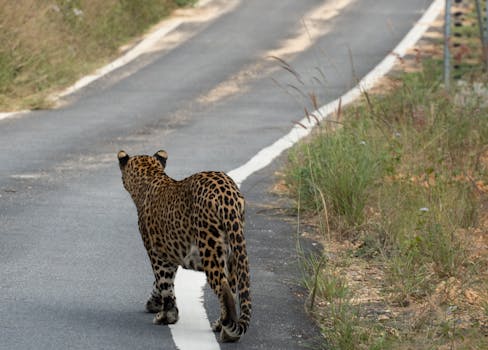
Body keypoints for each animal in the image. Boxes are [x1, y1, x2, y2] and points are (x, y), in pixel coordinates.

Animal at [117, 150, 252, 342]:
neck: (150, 177)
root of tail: (228, 195)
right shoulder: (171, 252)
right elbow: (160, 283)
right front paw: (154, 304)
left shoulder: (157, 253)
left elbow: (164, 283)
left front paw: (167, 316)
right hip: (234, 249)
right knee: (232, 290)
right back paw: (223, 324)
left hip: (211, 250)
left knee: (223, 288)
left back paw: (227, 332)